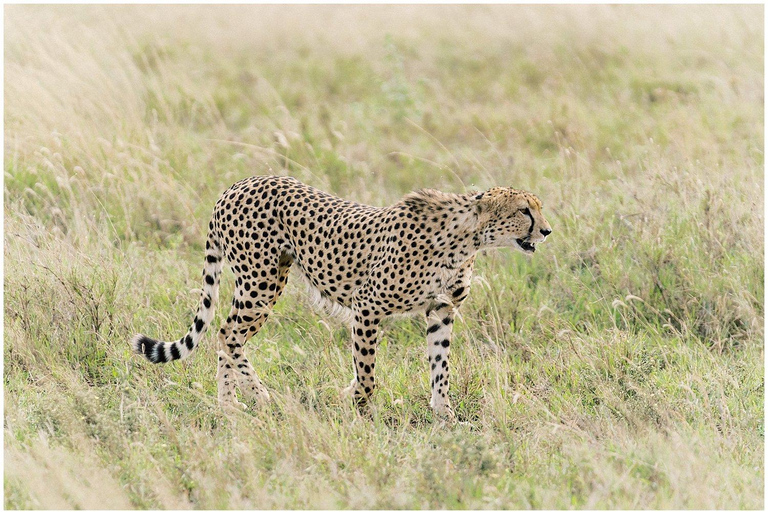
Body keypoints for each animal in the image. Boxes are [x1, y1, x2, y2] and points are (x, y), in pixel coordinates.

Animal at [132, 176, 552, 420]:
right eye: (523, 210)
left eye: (537, 207)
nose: (547, 230)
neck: (467, 238)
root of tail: (237, 184)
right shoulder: (367, 308)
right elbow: (367, 372)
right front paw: (361, 410)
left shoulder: (440, 310)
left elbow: (440, 369)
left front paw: (444, 416)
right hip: (261, 282)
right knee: (228, 334)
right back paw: (256, 398)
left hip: (263, 280)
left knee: (227, 335)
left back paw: (229, 403)